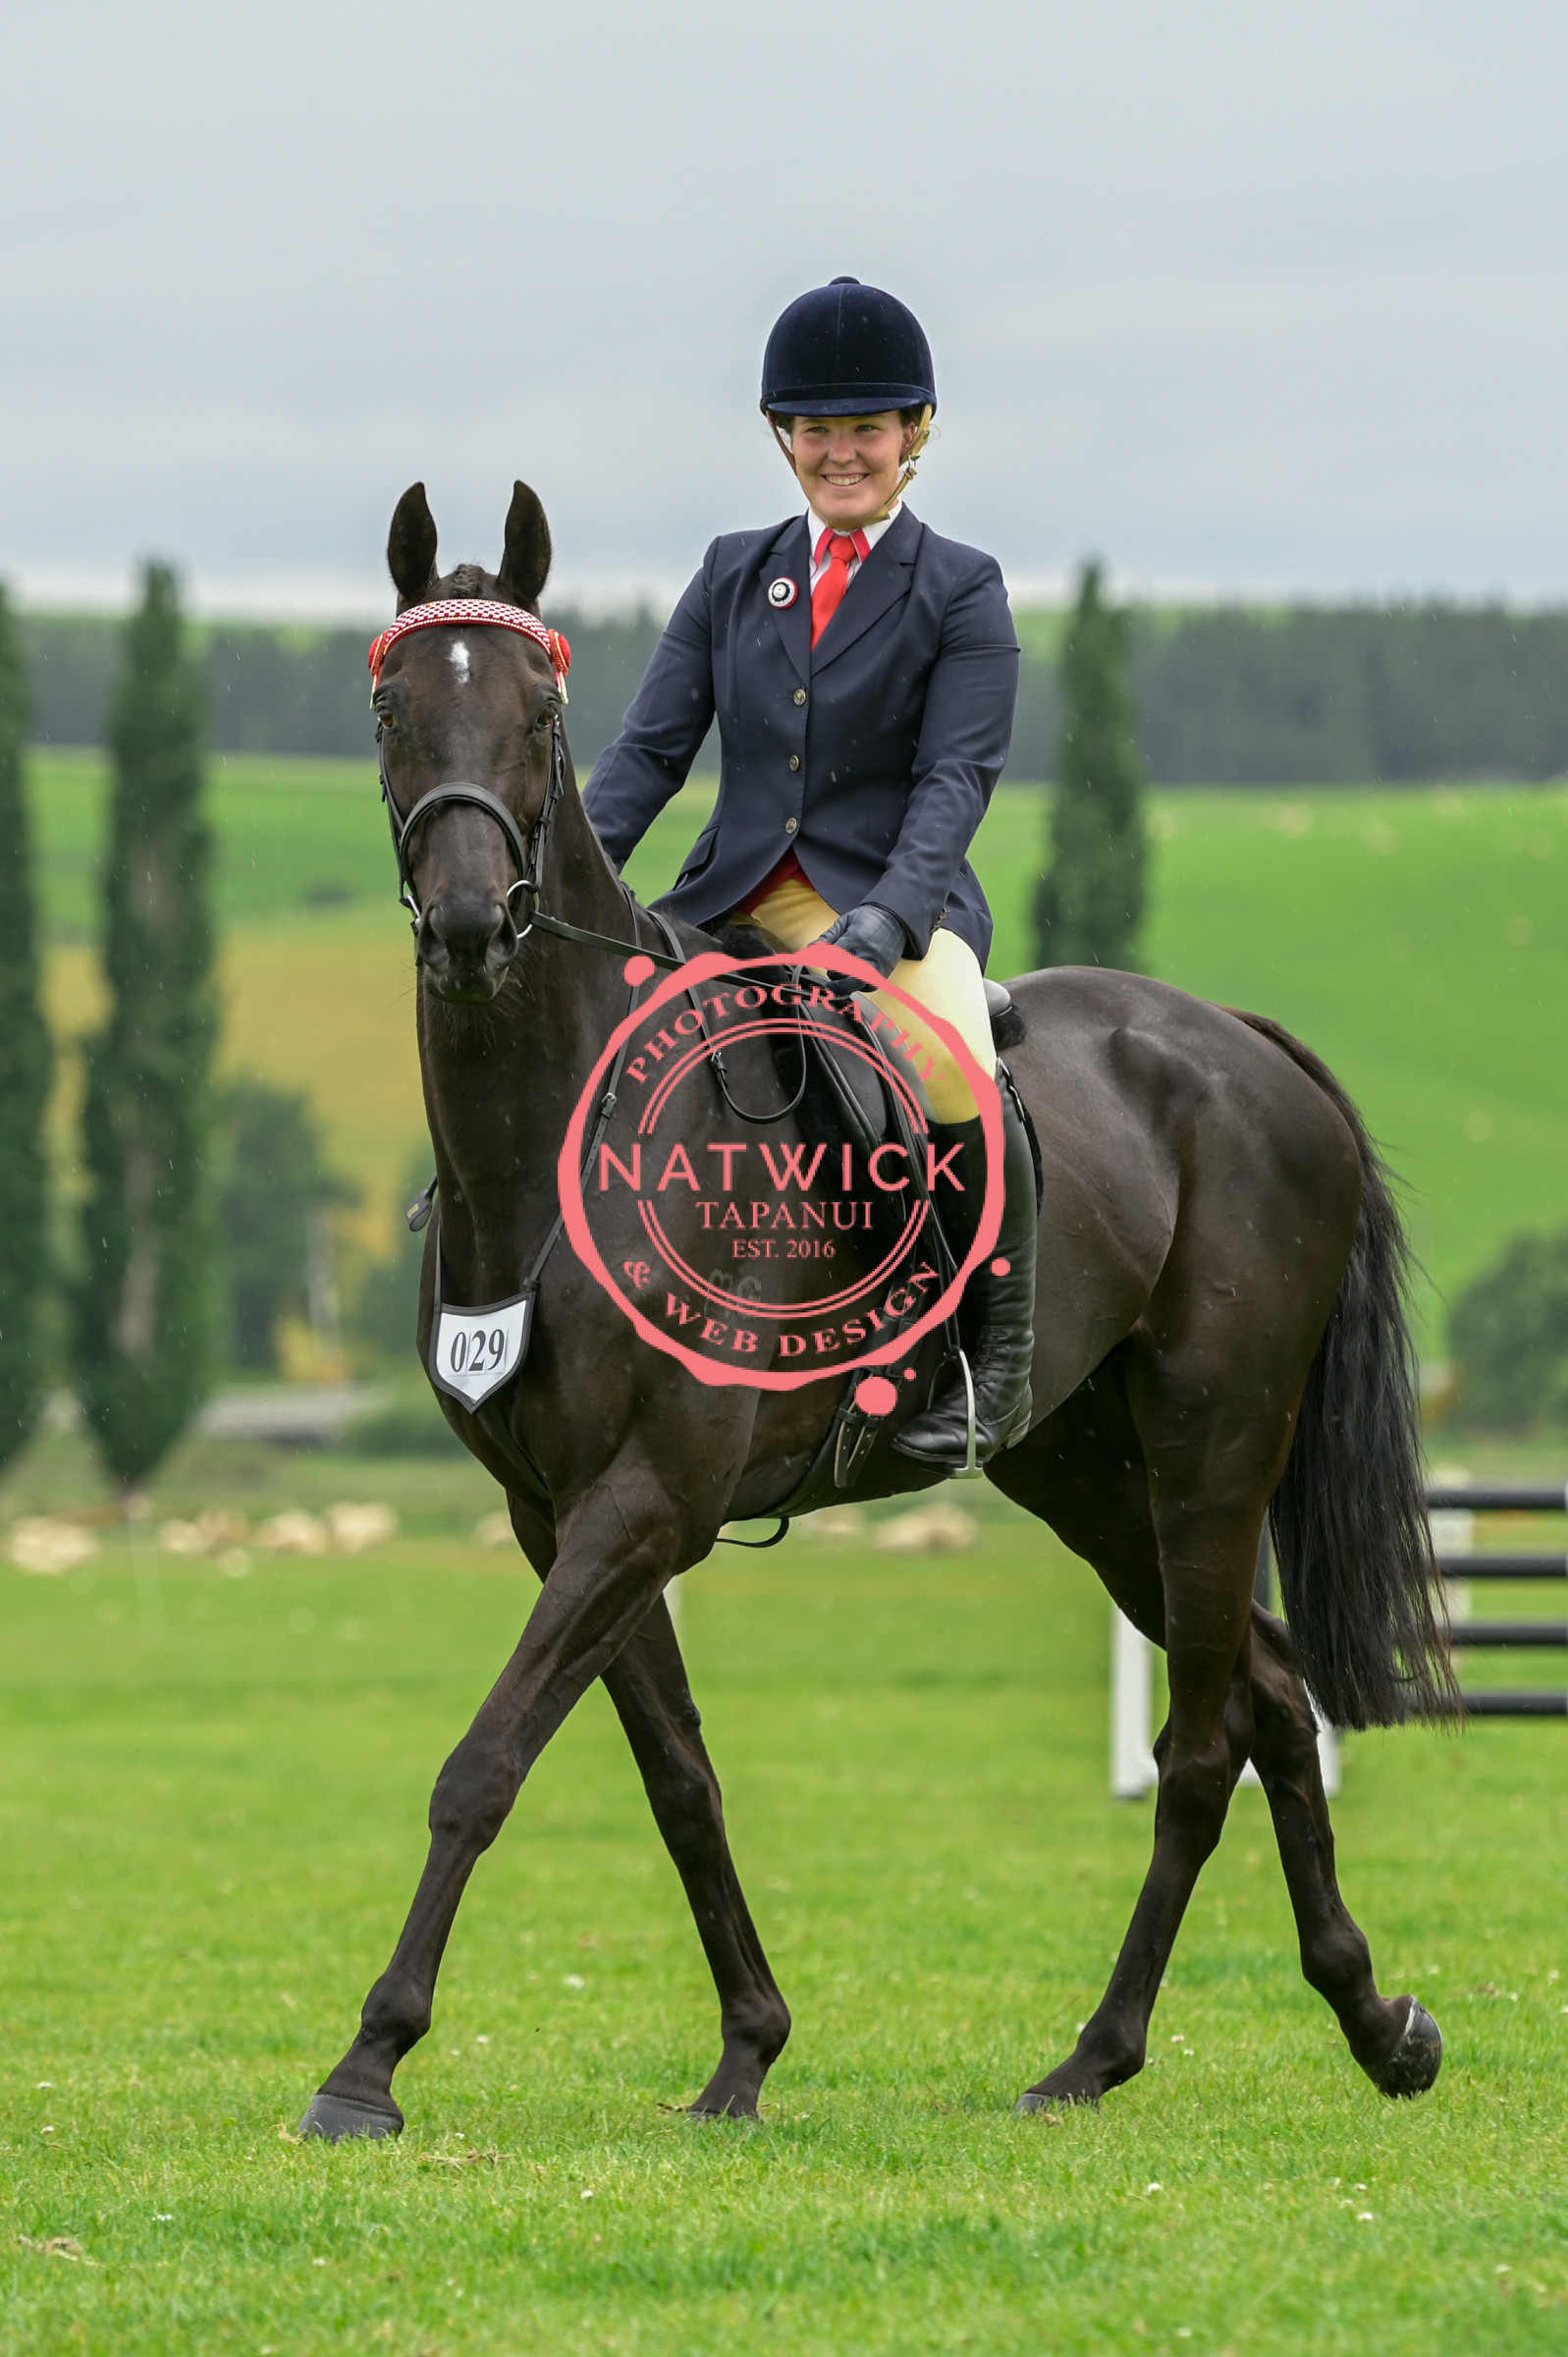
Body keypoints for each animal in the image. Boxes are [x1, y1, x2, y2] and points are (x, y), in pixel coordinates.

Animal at [299, 479, 1453, 2141]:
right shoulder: (558, 1510)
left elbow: (486, 1760)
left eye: (540, 716)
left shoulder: (646, 1499)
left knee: (1202, 1740)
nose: (466, 928)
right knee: (1272, 1701)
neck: (555, 1143)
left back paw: (1099, 2052)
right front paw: (745, 2052)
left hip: (1213, 1443)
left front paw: (368, 2066)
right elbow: (677, 1779)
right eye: (393, 708)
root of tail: (1240, 1043)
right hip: (1087, 1472)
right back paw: (1365, 2025)